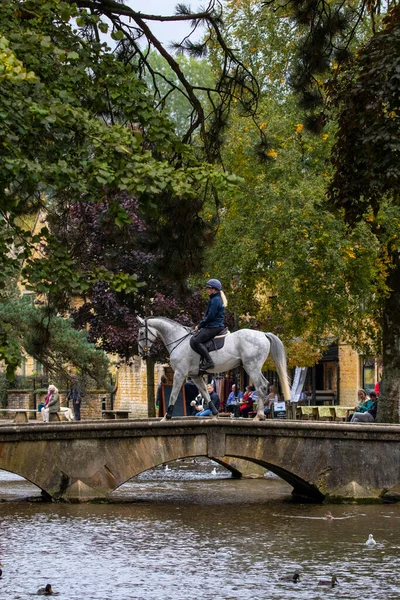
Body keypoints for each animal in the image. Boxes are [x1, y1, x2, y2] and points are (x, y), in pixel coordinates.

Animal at [138, 316, 290, 420]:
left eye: (141, 333)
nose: (141, 352)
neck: (179, 341)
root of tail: (263, 334)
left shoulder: (180, 373)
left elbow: (174, 394)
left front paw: (167, 416)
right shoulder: (195, 376)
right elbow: (205, 392)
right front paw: (215, 414)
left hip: (251, 367)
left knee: (261, 386)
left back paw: (258, 416)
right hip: (254, 367)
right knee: (263, 385)